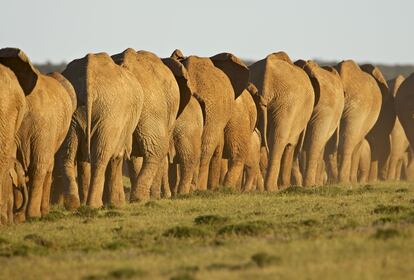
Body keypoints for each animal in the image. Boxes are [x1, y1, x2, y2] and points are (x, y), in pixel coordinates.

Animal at [62, 51, 144, 209]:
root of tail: (89, 81)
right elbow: (116, 156)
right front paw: (117, 204)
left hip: (73, 112)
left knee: (68, 154)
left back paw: (73, 205)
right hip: (109, 113)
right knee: (100, 157)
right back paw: (94, 205)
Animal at [249, 52, 314, 190]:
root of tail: (267, 80)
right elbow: (290, 144)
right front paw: (285, 186)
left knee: (262, 138)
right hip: (286, 104)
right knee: (278, 138)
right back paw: (273, 188)